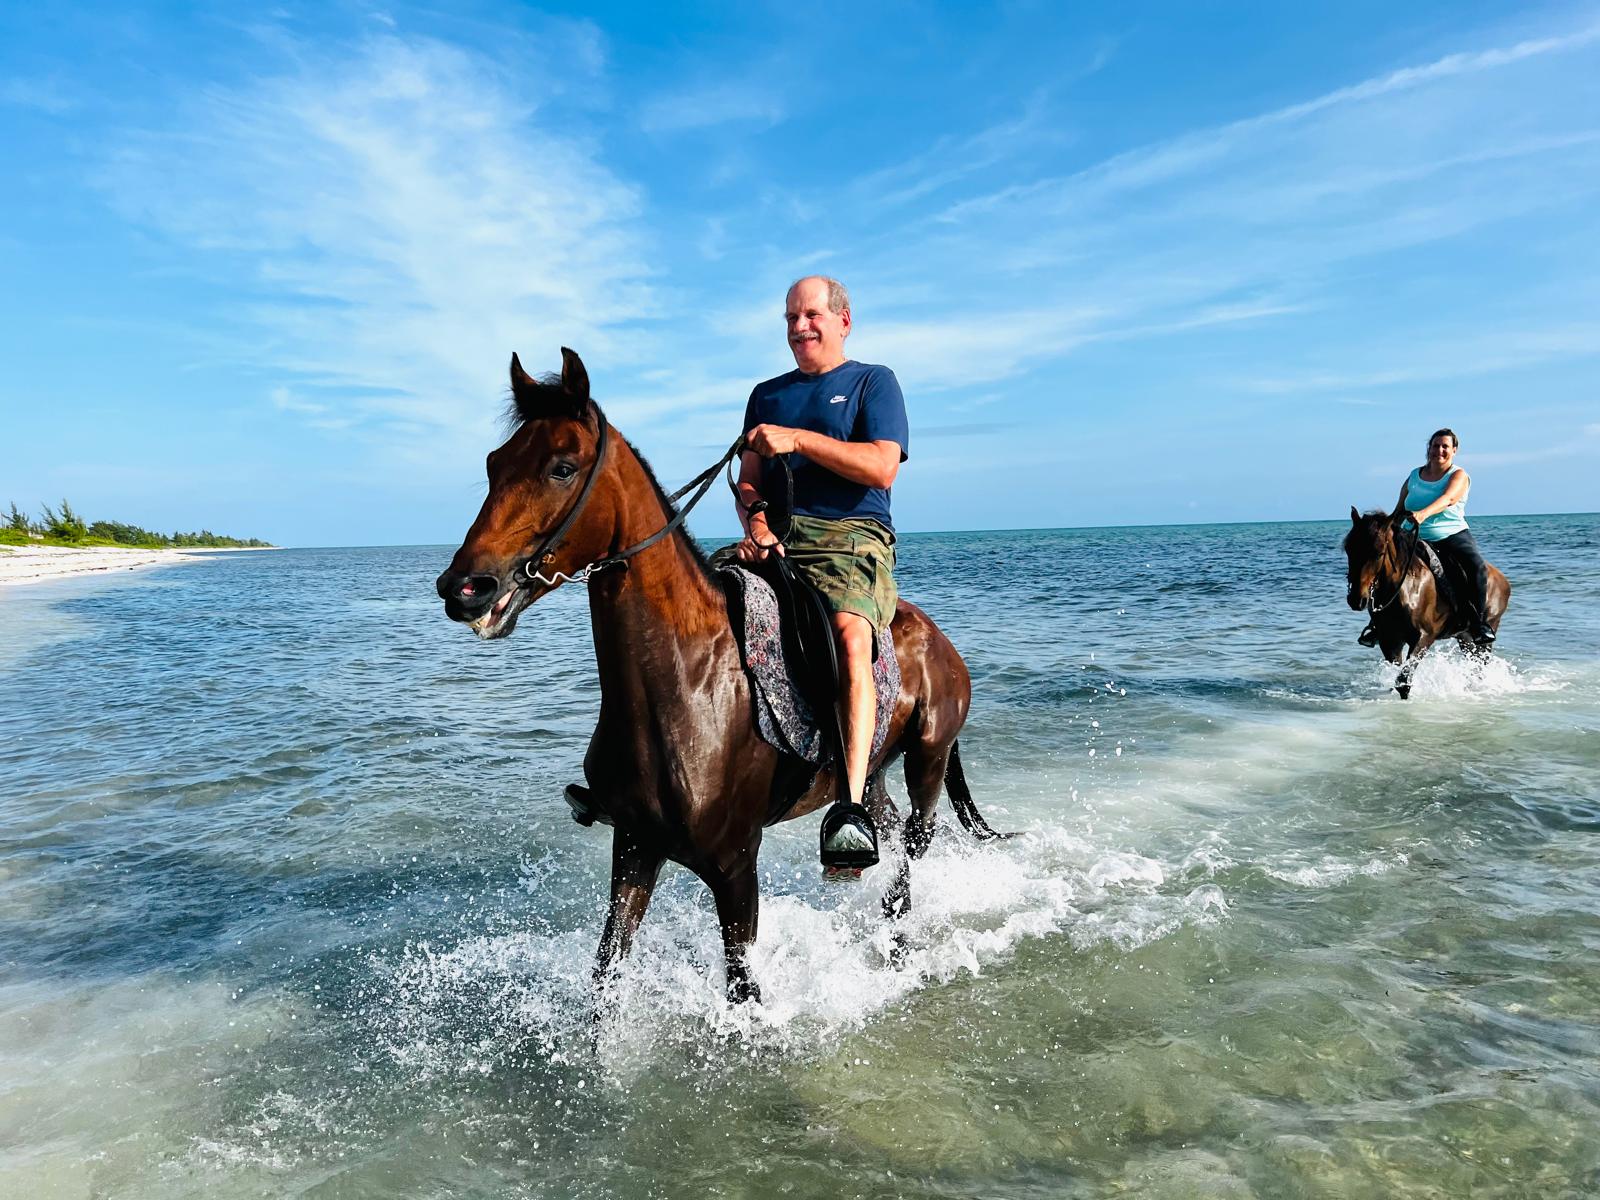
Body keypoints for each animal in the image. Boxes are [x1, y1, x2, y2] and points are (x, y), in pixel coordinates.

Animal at [435, 348, 1006, 1004]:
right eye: (493, 463)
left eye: (561, 467)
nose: (464, 588)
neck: (686, 685)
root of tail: (939, 641)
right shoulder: (634, 851)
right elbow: (604, 980)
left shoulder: (734, 867)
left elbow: (740, 991)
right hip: (871, 776)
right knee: (881, 835)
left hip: (927, 761)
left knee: (914, 848)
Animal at [1343, 507, 1511, 699]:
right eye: (1348, 549)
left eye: (1379, 553)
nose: (1356, 599)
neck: (1405, 589)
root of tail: (1502, 578)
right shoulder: (1389, 640)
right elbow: (1400, 678)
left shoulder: (1424, 637)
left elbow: (1404, 681)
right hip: (1464, 636)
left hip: (1487, 632)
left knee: (1480, 664)